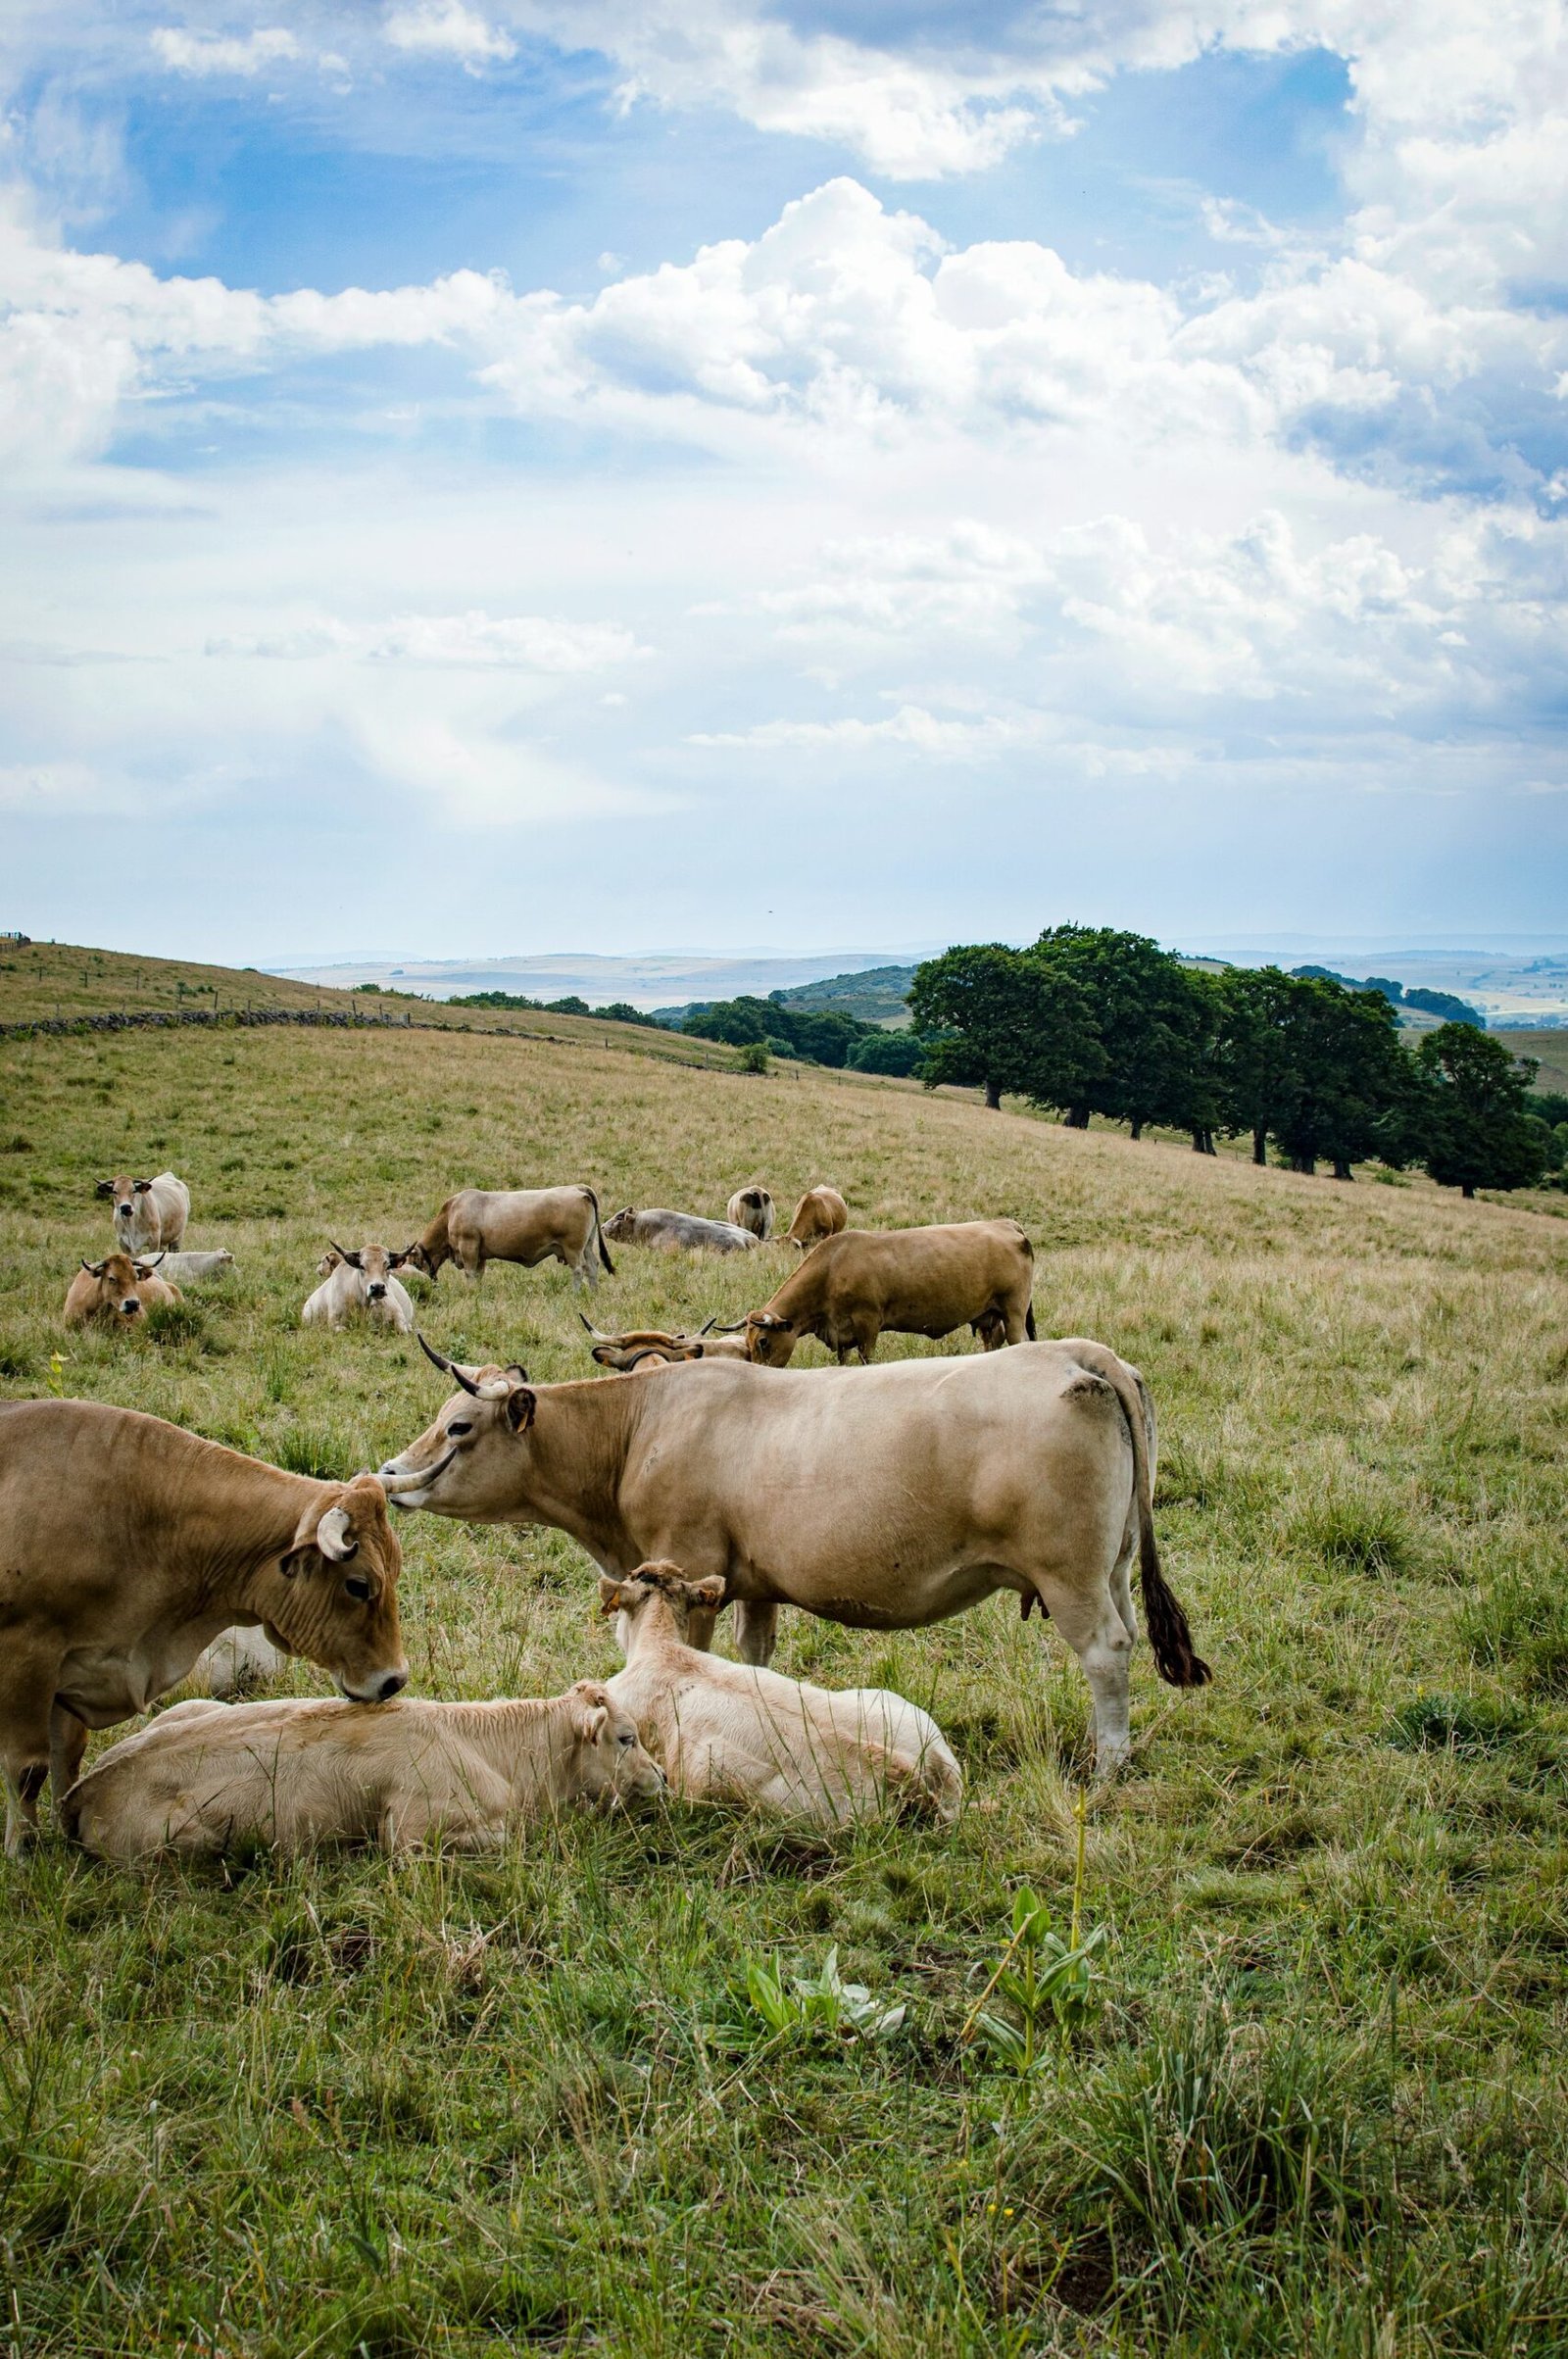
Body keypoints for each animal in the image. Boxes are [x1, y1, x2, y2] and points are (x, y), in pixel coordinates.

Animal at [0, 1400, 407, 1853]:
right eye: (358, 1585)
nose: (394, 1680)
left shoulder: (71, 1667)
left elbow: (67, 1755)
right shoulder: (28, 1657)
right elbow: (28, 1770)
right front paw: (22, 1853)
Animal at [379, 1338, 1211, 1778]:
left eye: (458, 1426)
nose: (387, 1473)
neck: (641, 1424)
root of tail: (1075, 1351)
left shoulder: (688, 1567)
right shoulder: (754, 1584)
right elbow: (757, 1656)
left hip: (1070, 1579)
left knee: (1106, 1653)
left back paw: (1108, 1763)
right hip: (1111, 1569)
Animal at [403, 1186, 613, 1292]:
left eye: (414, 1263)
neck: (452, 1211)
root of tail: (577, 1188)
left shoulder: (468, 1246)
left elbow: (470, 1274)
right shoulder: (480, 1254)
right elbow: (478, 1274)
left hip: (572, 1247)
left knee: (578, 1270)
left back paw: (574, 1294)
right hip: (587, 1245)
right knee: (592, 1266)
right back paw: (593, 1293)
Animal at [738, 1220, 1036, 1367]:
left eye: (763, 1341)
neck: (833, 1267)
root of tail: (1005, 1224)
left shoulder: (868, 1323)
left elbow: (866, 1358)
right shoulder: (840, 1332)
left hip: (1013, 1310)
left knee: (1018, 1340)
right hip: (989, 1315)